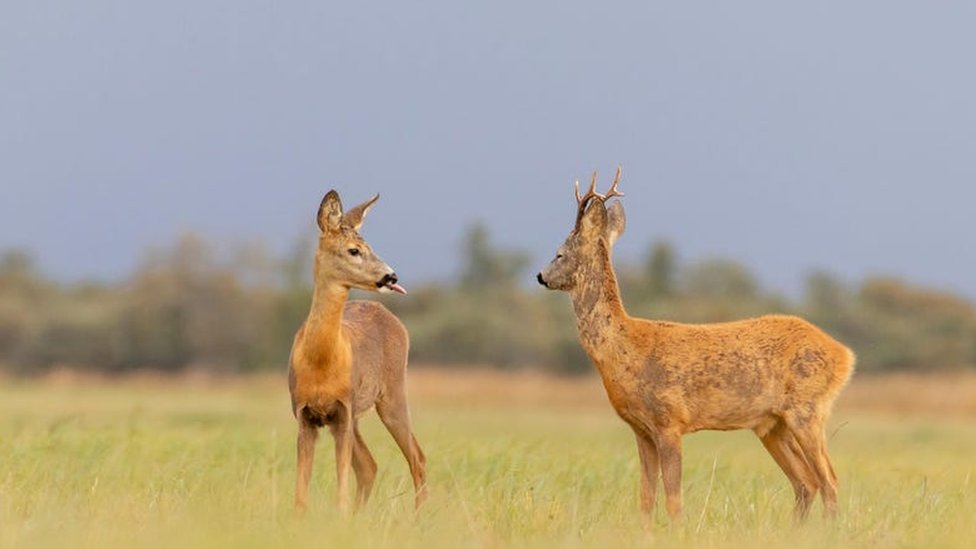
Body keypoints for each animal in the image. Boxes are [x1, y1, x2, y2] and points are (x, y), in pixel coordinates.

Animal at [290, 189, 428, 512]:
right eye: (354, 250)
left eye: (370, 246)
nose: (391, 277)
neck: (321, 363)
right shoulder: (305, 415)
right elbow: (301, 495)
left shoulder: (343, 409)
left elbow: (340, 490)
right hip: (357, 416)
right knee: (370, 465)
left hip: (392, 393)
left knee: (417, 458)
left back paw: (420, 518)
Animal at [532, 169, 856, 524]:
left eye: (559, 253)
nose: (540, 275)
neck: (623, 347)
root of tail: (845, 354)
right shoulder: (641, 430)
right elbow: (646, 497)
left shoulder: (670, 421)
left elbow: (674, 498)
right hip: (772, 425)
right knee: (806, 482)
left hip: (807, 410)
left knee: (829, 480)